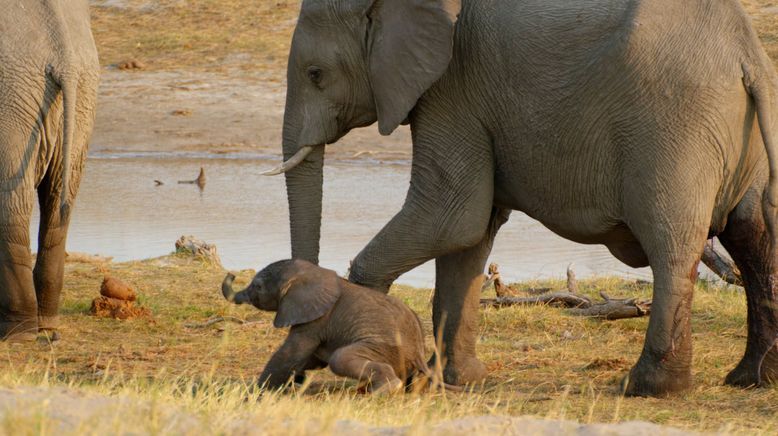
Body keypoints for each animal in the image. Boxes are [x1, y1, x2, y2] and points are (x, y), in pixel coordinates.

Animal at [0, 0, 100, 340]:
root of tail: (63, 57)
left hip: (13, 101)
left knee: (12, 206)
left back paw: (17, 333)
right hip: (82, 96)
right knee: (59, 202)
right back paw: (45, 323)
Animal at [221, 260, 430, 394]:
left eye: (257, 287)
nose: (232, 274)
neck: (314, 273)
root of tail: (419, 354)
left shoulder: (316, 319)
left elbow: (291, 354)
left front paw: (255, 392)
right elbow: (311, 358)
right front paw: (294, 384)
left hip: (386, 349)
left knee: (340, 358)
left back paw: (382, 391)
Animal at [268, 0, 776, 396]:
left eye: (316, 75)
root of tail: (745, 51)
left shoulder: (453, 89)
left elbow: (450, 216)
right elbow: (469, 235)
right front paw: (456, 381)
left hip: (672, 125)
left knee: (673, 248)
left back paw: (648, 388)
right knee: (753, 241)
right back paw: (751, 379)